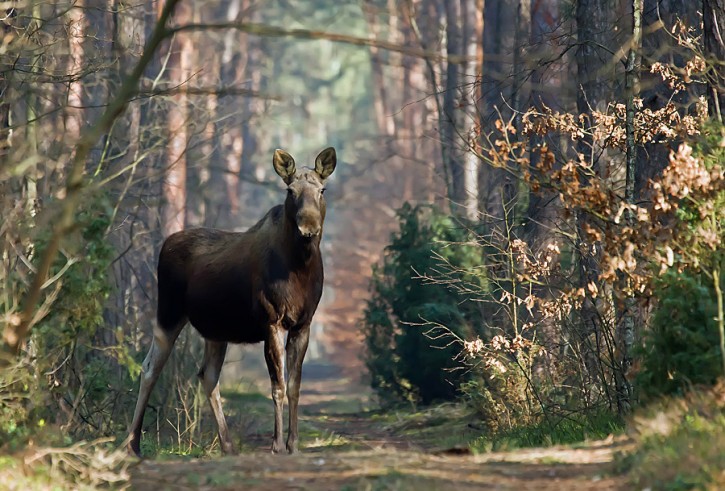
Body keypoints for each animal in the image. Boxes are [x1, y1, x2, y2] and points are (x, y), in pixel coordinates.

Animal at [127, 146, 336, 458]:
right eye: (290, 191)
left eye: (322, 190)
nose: (308, 227)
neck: (300, 268)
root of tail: (165, 244)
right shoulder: (271, 320)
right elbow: (278, 385)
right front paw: (276, 445)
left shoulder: (303, 323)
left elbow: (295, 386)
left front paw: (294, 444)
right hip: (168, 312)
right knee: (150, 367)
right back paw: (133, 444)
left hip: (216, 330)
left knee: (207, 375)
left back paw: (227, 445)